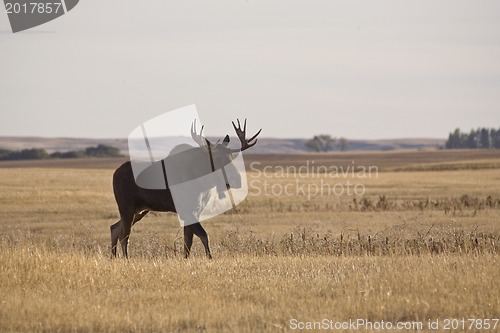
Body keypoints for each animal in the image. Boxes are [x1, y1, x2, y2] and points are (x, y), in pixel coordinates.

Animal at [110, 118, 262, 258]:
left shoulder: (196, 210)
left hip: (140, 209)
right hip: (127, 206)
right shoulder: (186, 211)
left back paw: (113, 257)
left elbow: (188, 242)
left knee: (115, 228)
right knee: (124, 235)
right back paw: (125, 258)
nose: (237, 179)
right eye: (218, 158)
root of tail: (115, 173)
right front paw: (210, 257)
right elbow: (203, 235)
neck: (202, 183)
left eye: (232, 156)